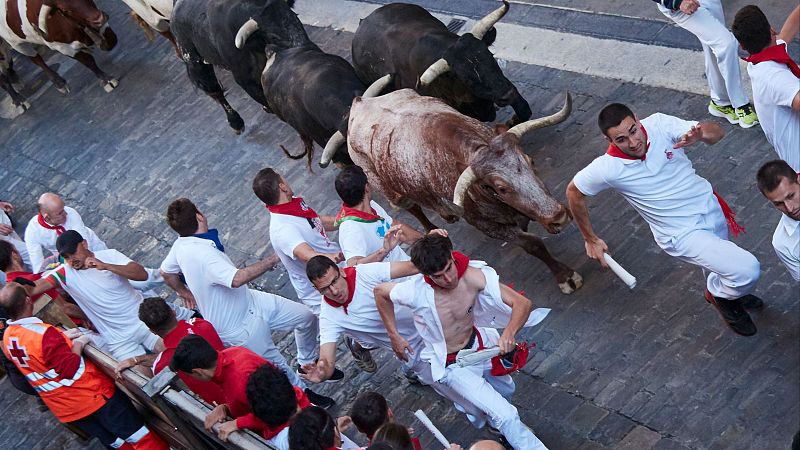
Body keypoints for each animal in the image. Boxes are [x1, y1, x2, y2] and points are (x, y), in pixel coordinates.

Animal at [171, 0, 306, 134]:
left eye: (296, 17)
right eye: (273, 36)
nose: (305, 47)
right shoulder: (246, 82)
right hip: (196, 64)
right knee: (215, 92)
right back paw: (235, 122)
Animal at [326, 88, 588, 296]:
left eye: (530, 161)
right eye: (501, 187)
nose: (558, 217)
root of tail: (359, 103)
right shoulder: (485, 225)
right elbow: (533, 244)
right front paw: (565, 277)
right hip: (388, 189)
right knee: (412, 206)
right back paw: (431, 229)